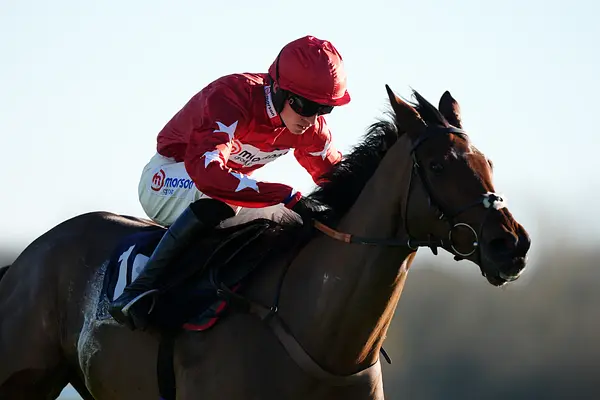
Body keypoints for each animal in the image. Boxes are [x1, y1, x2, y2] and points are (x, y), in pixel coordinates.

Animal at [0, 85, 530, 399]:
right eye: (438, 165)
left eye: (487, 161)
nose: (512, 245)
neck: (322, 337)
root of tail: (27, 257)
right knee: (213, 202)